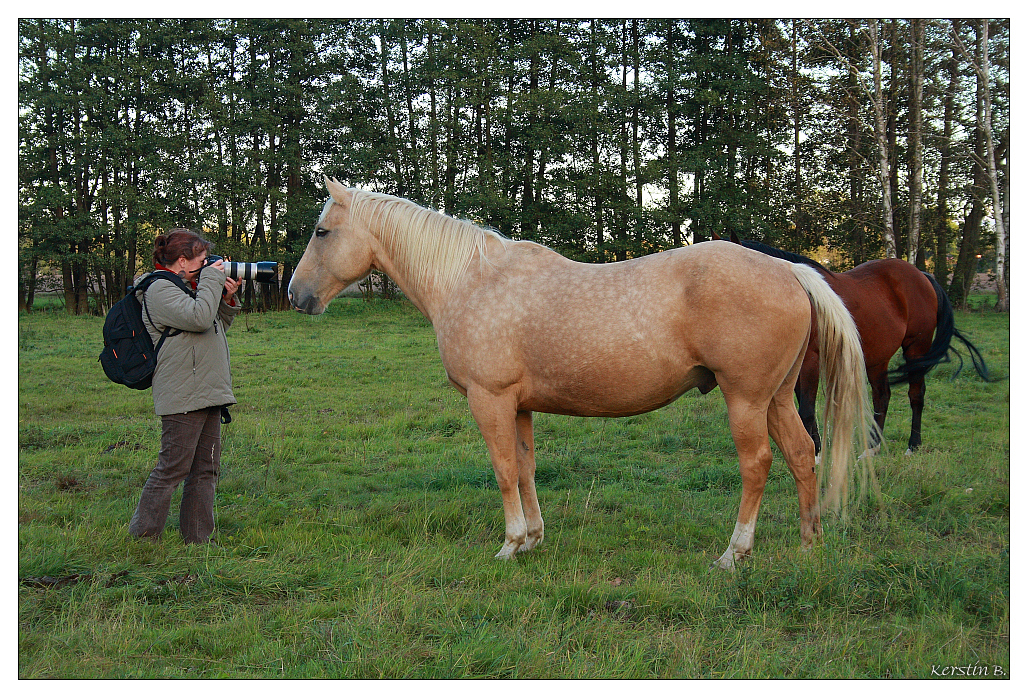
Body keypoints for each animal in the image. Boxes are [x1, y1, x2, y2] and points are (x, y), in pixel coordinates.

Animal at [289, 182, 875, 571]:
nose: (297, 295)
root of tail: (790, 270)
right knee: (801, 455)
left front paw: (509, 543)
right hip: (777, 397)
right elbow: (525, 469)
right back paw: (808, 544)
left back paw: (735, 553)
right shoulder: (519, 405)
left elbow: (503, 470)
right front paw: (533, 538)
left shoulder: (489, 399)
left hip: (746, 399)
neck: (468, 280)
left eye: (321, 231)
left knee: (757, 465)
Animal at [715, 237, 986, 458]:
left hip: (916, 349)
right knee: (882, 396)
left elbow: (806, 410)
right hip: (877, 357)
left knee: (916, 395)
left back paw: (913, 445)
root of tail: (922, 276)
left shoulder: (810, 362)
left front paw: (816, 454)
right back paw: (872, 449)